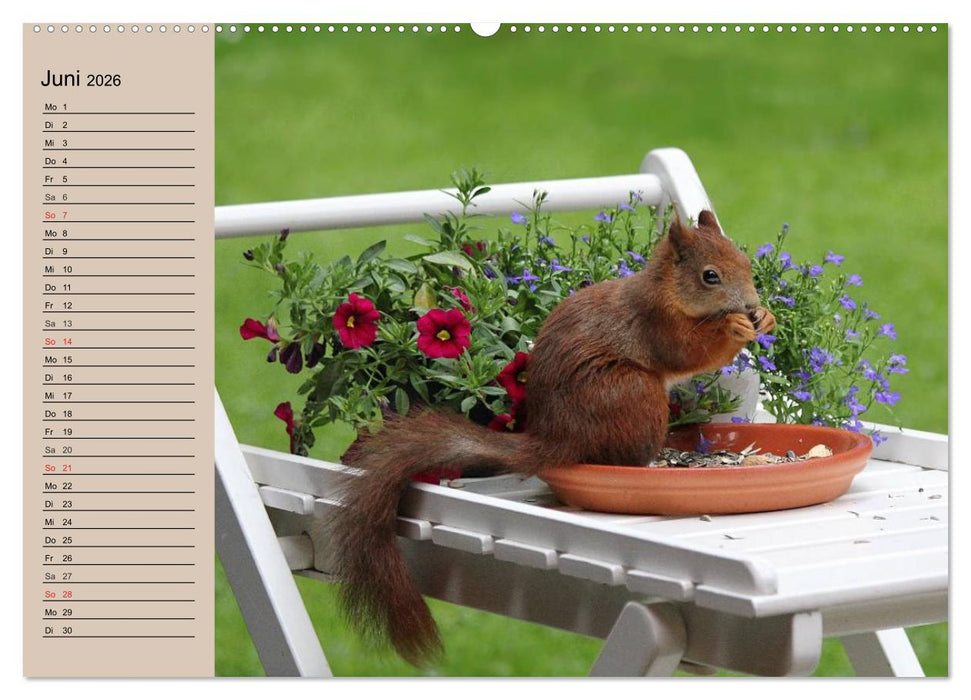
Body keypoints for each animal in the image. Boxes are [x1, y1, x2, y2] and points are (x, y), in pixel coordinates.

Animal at [330, 209, 776, 666]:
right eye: (710, 276)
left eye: (745, 262)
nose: (751, 305)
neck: (667, 291)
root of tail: (558, 438)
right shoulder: (657, 323)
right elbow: (688, 352)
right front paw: (734, 326)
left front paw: (767, 317)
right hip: (634, 392)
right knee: (621, 458)